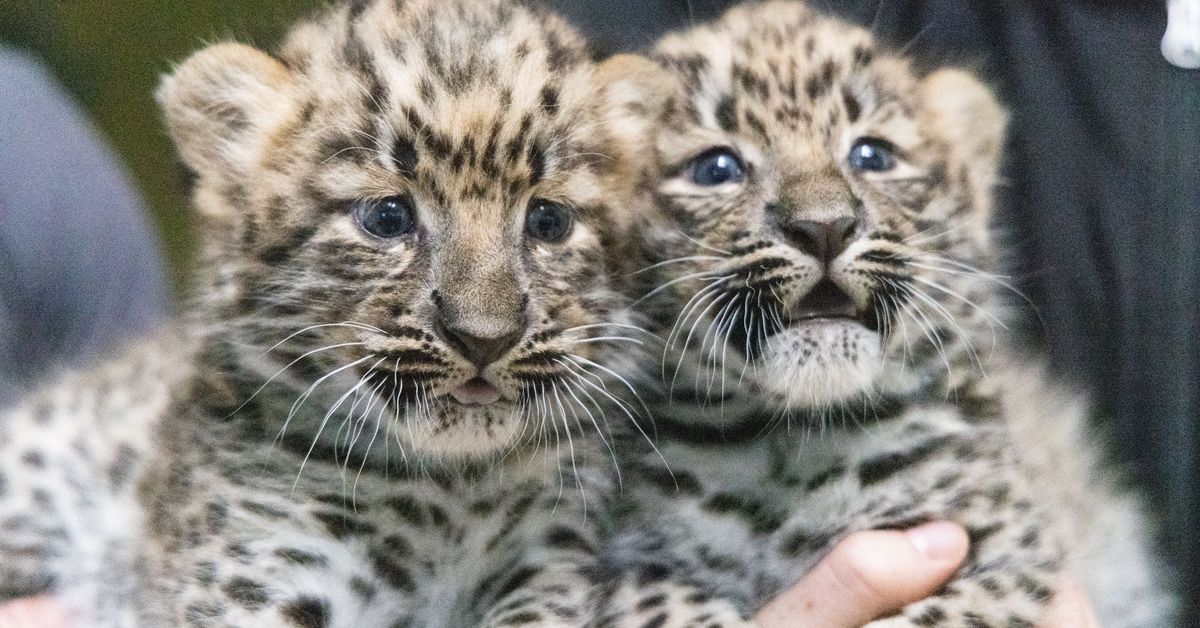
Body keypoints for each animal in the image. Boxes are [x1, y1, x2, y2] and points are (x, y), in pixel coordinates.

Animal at [0, 0, 655, 625]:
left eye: (548, 221)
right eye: (387, 217)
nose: (484, 339)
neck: (449, 488)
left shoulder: (546, 560)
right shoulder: (259, 575)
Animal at [587, 2, 1179, 626]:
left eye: (872, 156)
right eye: (715, 168)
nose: (824, 227)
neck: (788, 447)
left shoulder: (1005, 552)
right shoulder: (625, 563)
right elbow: (661, 601)